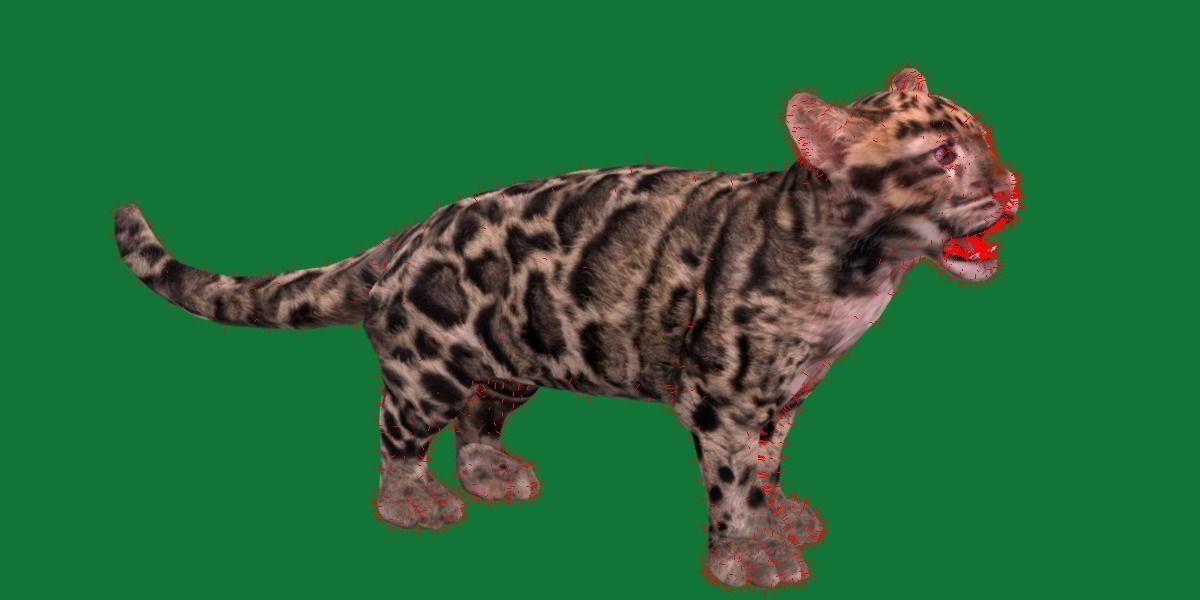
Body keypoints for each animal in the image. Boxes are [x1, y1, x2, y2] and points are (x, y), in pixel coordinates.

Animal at [113, 68, 1021, 588]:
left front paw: (780, 512)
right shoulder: (723, 397)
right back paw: (413, 501)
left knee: (477, 417)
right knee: (396, 431)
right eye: (941, 156)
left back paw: (490, 473)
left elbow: (770, 464)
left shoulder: (786, 396)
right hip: (428, 364)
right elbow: (733, 481)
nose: (1011, 189)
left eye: (984, 137)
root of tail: (407, 235)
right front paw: (748, 552)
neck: (862, 275)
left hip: (511, 360)